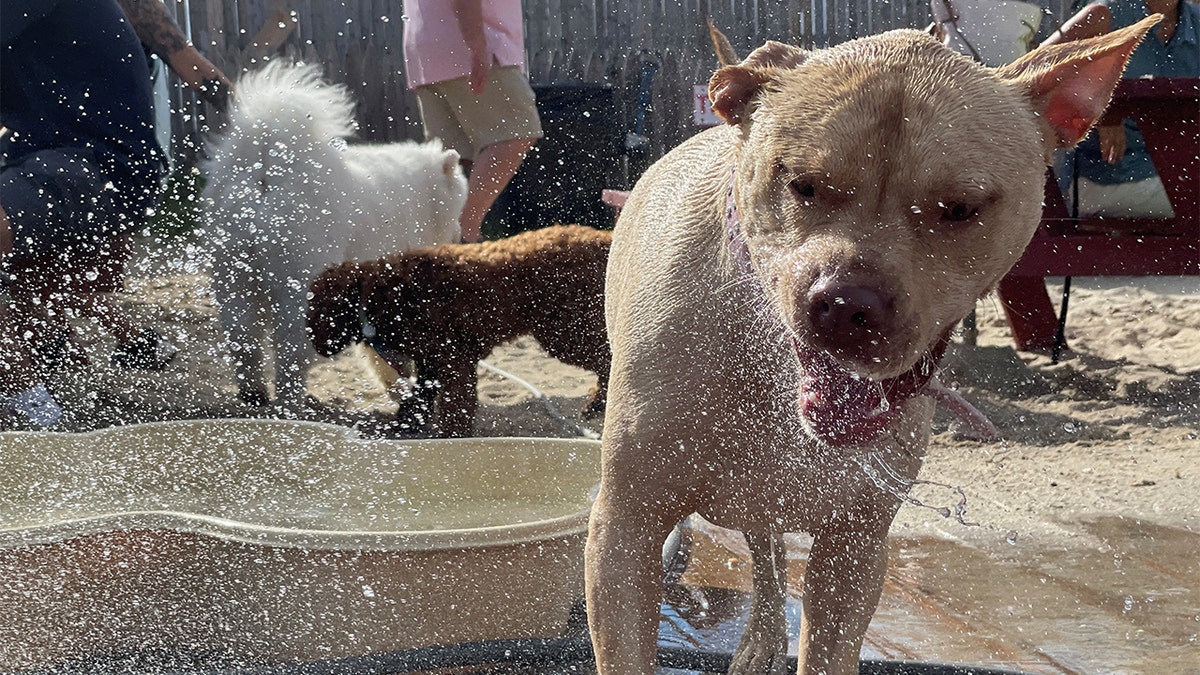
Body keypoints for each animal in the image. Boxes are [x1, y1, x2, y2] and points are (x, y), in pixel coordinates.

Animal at [204, 63, 465, 408]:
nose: (461, 235)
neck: (422, 192)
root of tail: (267, 172)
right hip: (302, 292)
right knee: (289, 354)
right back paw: (290, 401)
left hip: (237, 282)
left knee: (245, 344)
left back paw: (255, 395)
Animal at [309, 224, 609, 437]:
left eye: (318, 313)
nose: (315, 344)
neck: (382, 294)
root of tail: (604, 239)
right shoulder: (430, 360)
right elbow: (421, 396)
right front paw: (408, 423)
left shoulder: (454, 358)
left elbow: (455, 405)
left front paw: (453, 437)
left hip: (565, 331)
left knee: (607, 361)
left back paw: (597, 402)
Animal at [585, 15, 1156, 672]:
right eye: (802, 184)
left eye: (960, 208)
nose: (846, 303)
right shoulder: (624, 532)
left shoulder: (854, 554)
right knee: (764, 546)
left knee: (767, 548)